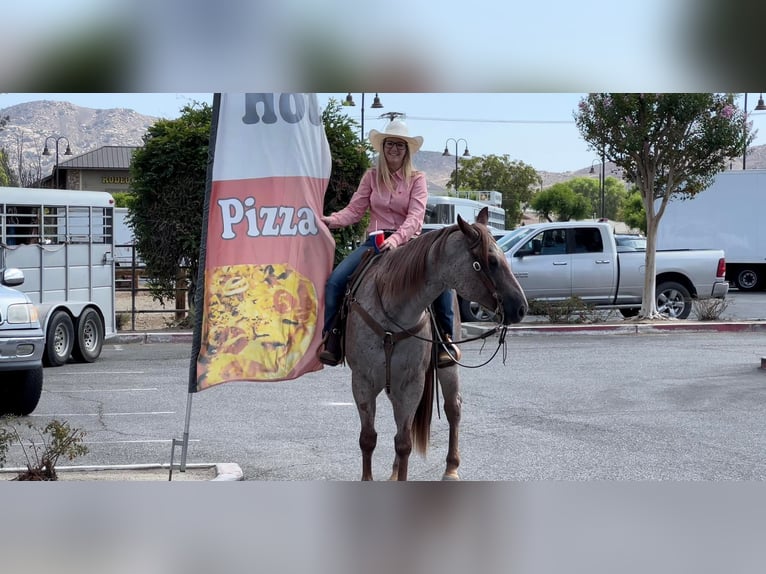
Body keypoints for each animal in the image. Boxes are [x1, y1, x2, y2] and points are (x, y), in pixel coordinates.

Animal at [342, 207, 528, 482]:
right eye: (492, 261)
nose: (521, 307)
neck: (392, 313)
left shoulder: (412, 383)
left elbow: (404, 443)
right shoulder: (363, 382)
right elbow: (368, 438)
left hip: (447, 368)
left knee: (453, 408)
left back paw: (451, 468)